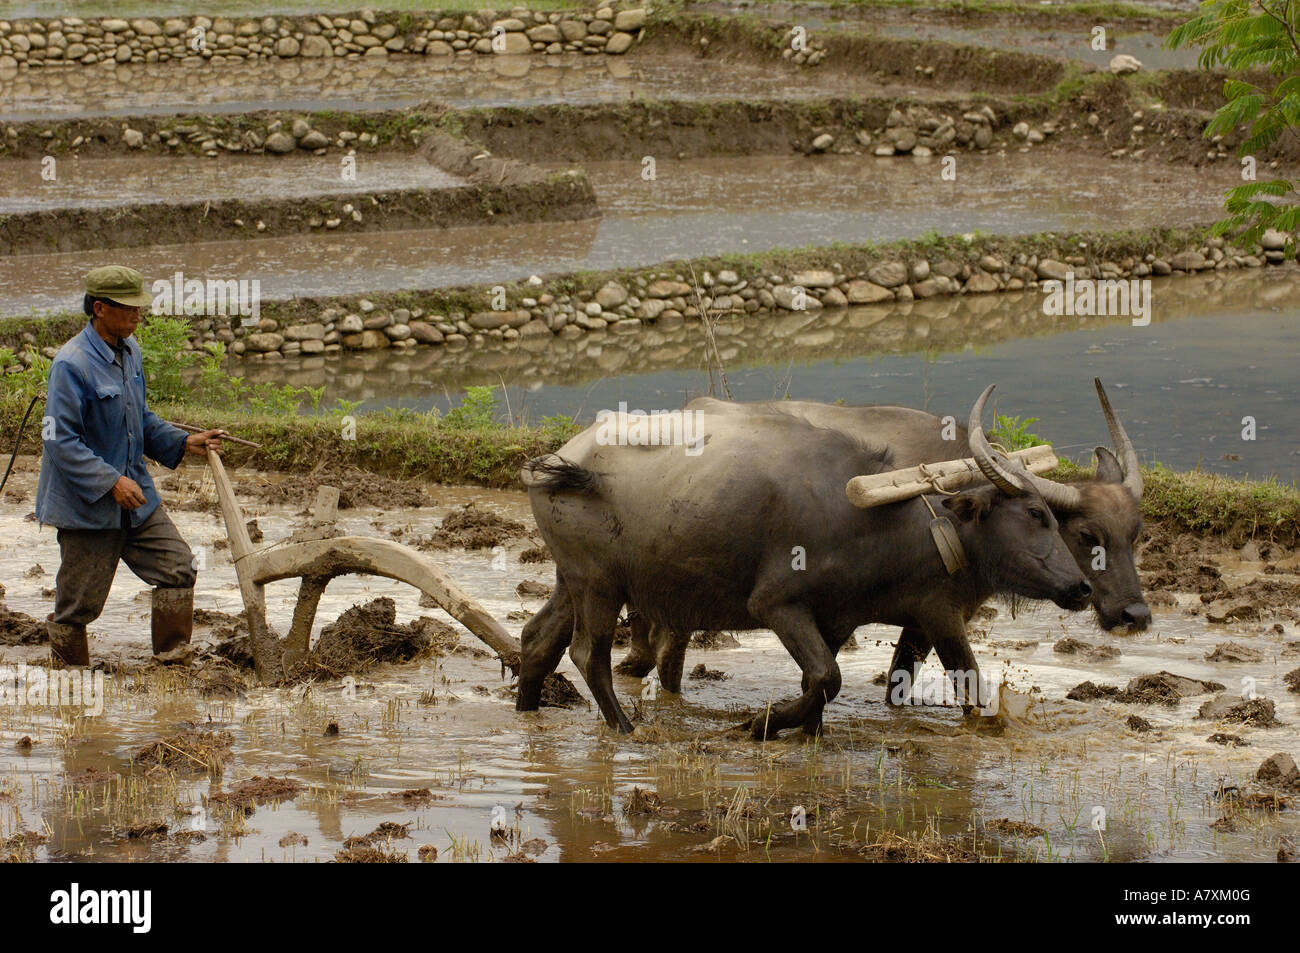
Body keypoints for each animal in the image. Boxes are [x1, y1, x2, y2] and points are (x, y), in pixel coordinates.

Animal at [514, 387, 1086, 738]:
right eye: (1036, 513)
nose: (1080, 588)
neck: (874, 519)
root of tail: (560, 462)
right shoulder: (778, 605)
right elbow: (828, 678)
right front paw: (760, 725)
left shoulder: (837, 618)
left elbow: (818, 682)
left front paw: (803, 732)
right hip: (599, 584)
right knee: (589, 654)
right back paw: (624, 728)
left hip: (572, 579)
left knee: (538, 639)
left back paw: (527, 709)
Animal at [618, 377, 1149, 691]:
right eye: (1087, 534)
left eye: (1136, 534)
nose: (1136, 615)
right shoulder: (935, 612)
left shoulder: (925, 616)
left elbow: (900, 681)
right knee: (664, 649)